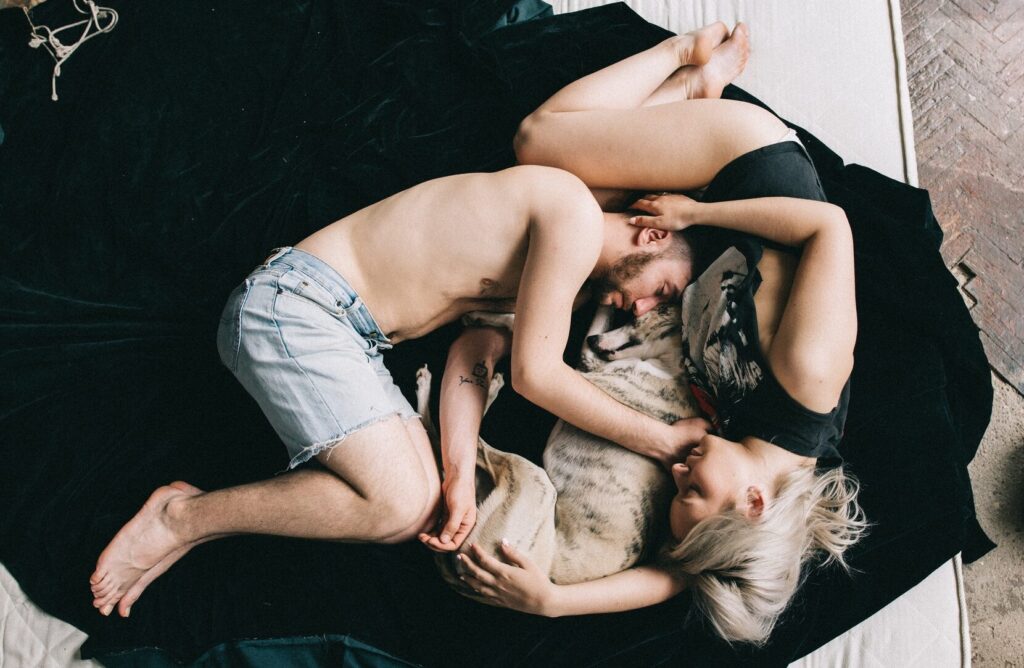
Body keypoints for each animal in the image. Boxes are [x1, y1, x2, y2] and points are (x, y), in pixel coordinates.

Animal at [413, 301, 696, 590]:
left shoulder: (580, 368)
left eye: (634, 321)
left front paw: (480, 316)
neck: (673, 370)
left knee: (458, 442)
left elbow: (525, 328)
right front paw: (603, 298)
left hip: (532, 479)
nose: (595, 341)